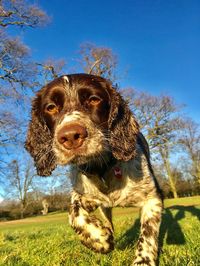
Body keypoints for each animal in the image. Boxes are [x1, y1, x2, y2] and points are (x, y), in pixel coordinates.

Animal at [25, 73, 162, 266]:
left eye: (94, 99)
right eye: (50, 107)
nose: (70, 136)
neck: (102, 169)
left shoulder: (152, 198)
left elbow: (148, 233)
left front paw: (143, 260)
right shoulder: (84, 196)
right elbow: (73, 213)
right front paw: (99, 238)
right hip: (104, 208)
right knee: (108, 220)